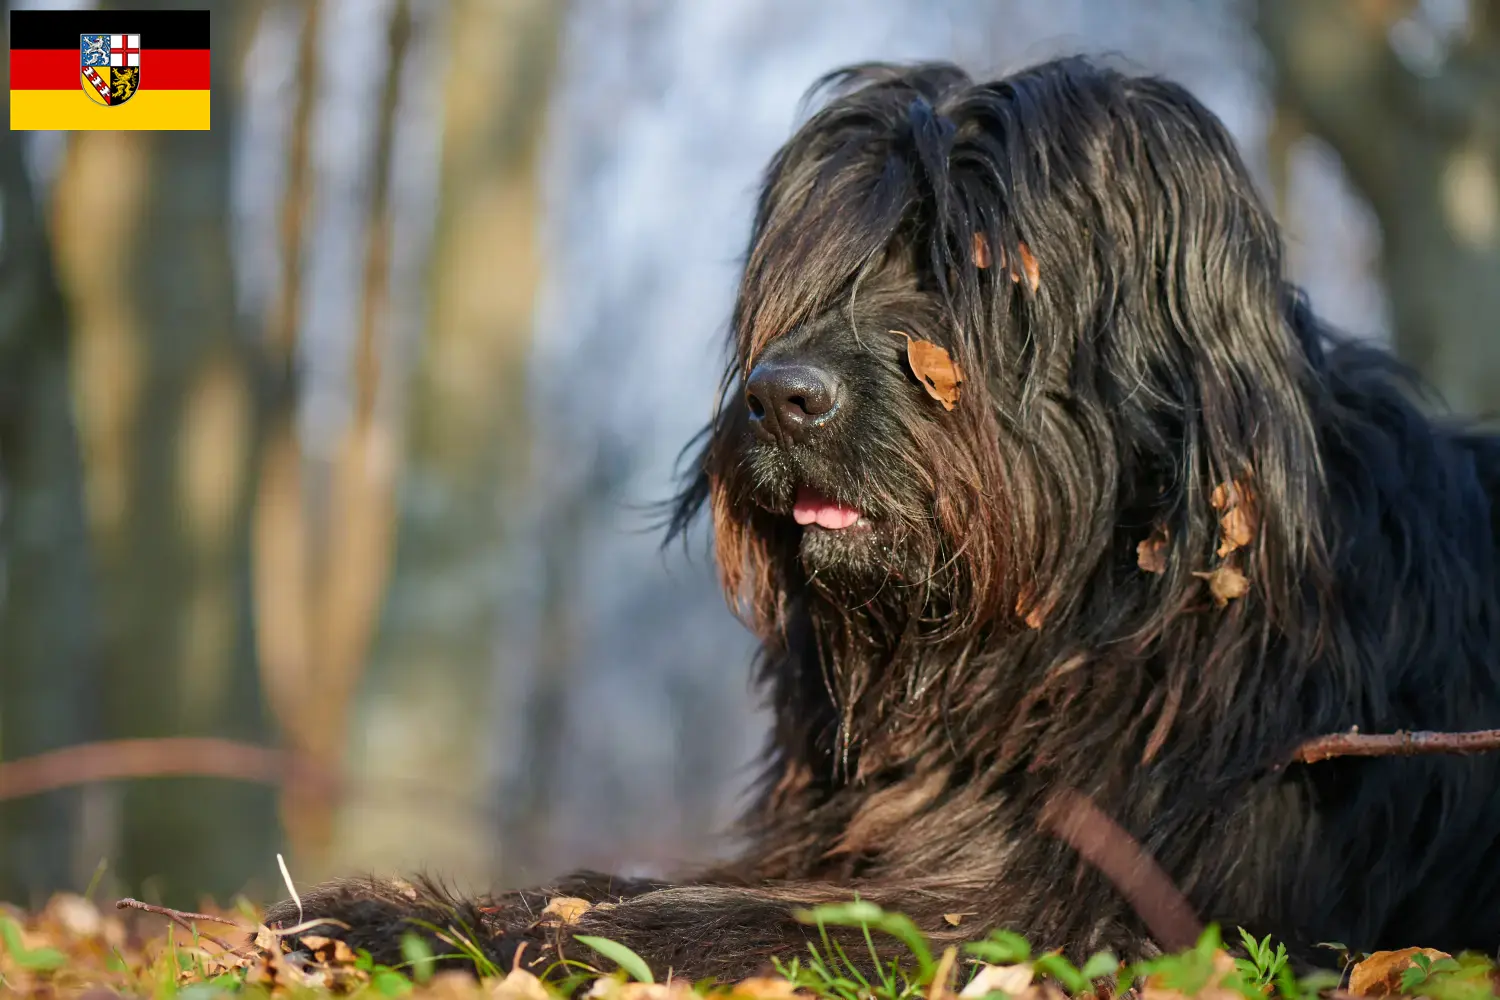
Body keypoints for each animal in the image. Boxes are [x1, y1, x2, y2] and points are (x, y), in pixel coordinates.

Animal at [264, 56, 1500, 983]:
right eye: (816, 268)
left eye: (976, 270)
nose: (779, 397)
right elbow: (652, 883)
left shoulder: (1109, 909)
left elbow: (745, 921)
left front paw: (433, 926)